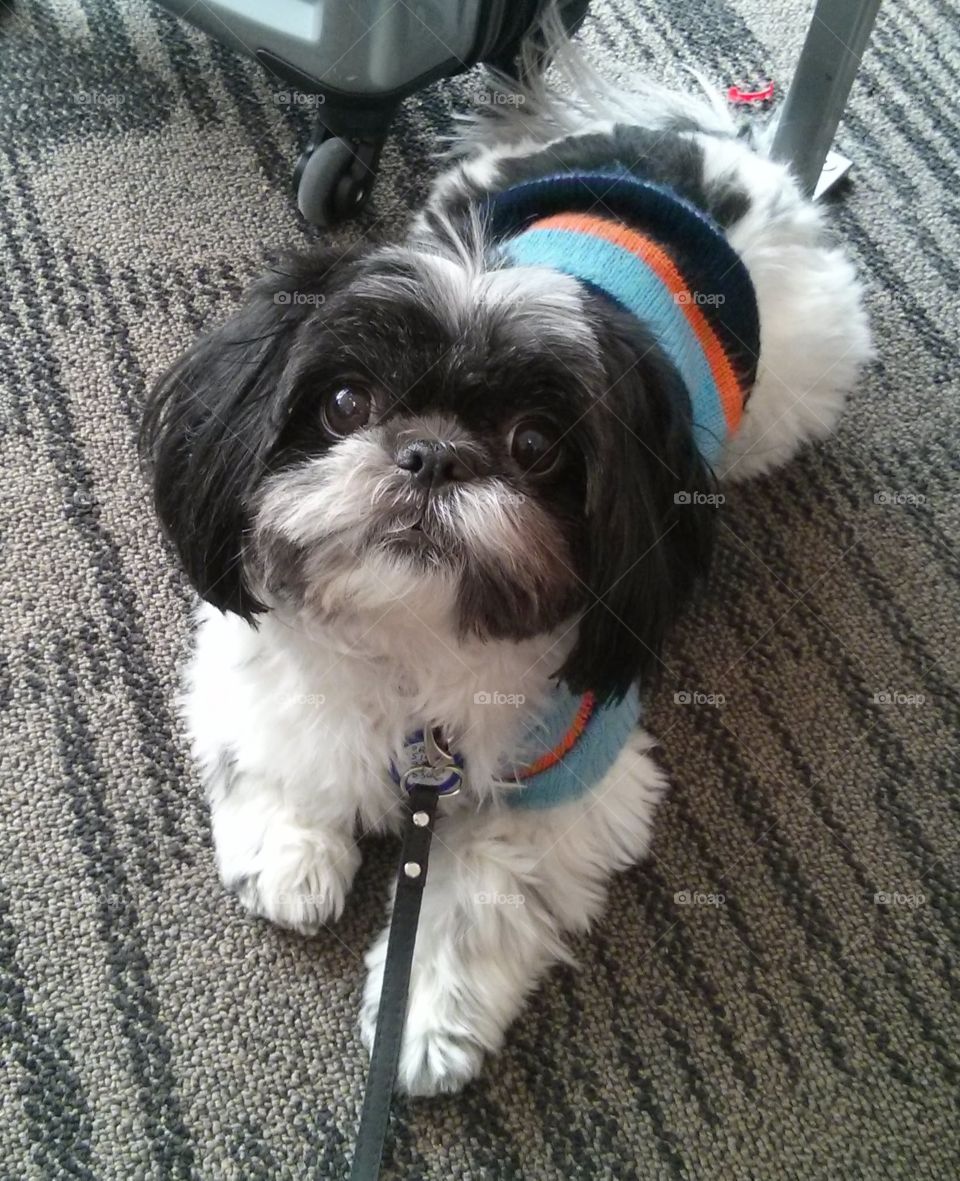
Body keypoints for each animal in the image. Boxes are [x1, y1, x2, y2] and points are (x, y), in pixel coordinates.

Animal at [140, 34, 869, 1095]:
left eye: (533, 444)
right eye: (348, 403)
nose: (432, 454)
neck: (416, 648)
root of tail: (700, 149)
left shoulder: (573, 774)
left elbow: (481, 894)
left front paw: (421, 1019)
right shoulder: (256, 651)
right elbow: (286, 737)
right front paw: (291, 854)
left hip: (793, 380)